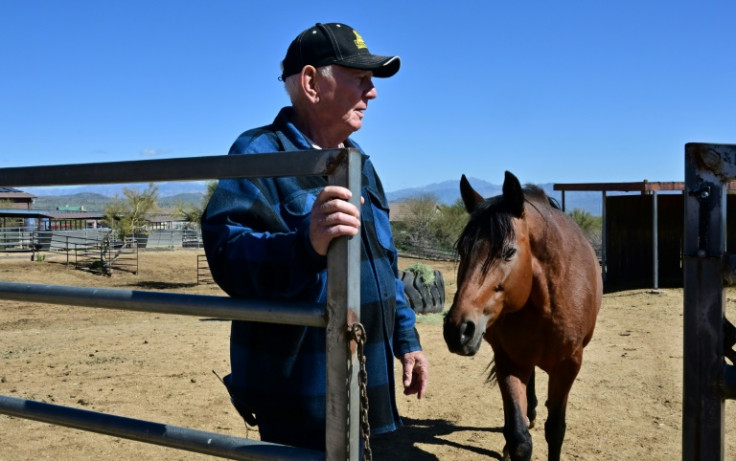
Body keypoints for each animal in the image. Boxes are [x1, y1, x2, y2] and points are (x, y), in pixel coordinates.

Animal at [442, 172, 600, 460]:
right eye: (462, 250)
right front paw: (515, 436)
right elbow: (519, 438)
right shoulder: (509, 361)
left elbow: (556, 430)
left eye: (509, 251)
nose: (457, 330)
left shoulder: (568, 367)